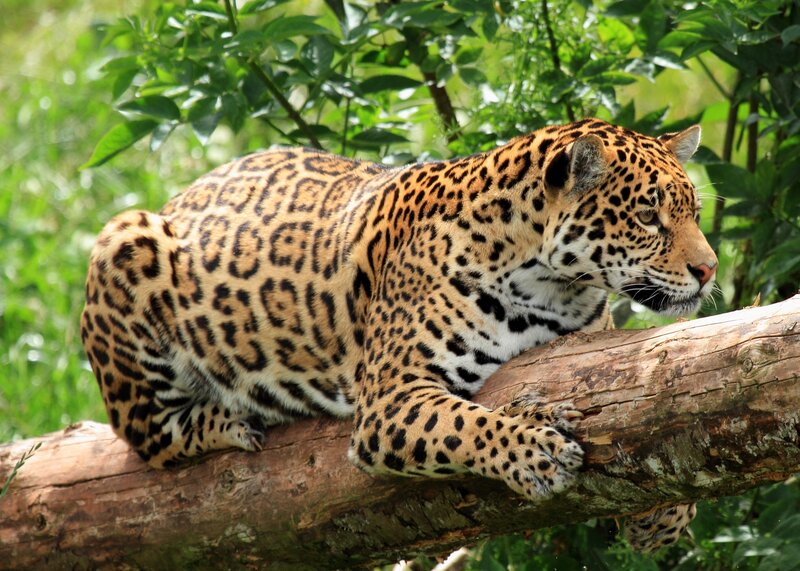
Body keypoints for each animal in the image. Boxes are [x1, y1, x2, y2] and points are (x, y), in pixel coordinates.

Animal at [81, 118, 717, 552]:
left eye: (694, 212)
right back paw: (233, 420)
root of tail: (181, 194)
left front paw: (665, 517)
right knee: (148, 434)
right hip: (124, 240)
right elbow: (466, 426)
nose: (709, 270)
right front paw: (534, 451)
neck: (549, 281)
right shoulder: (388, 400)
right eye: (647, 216)